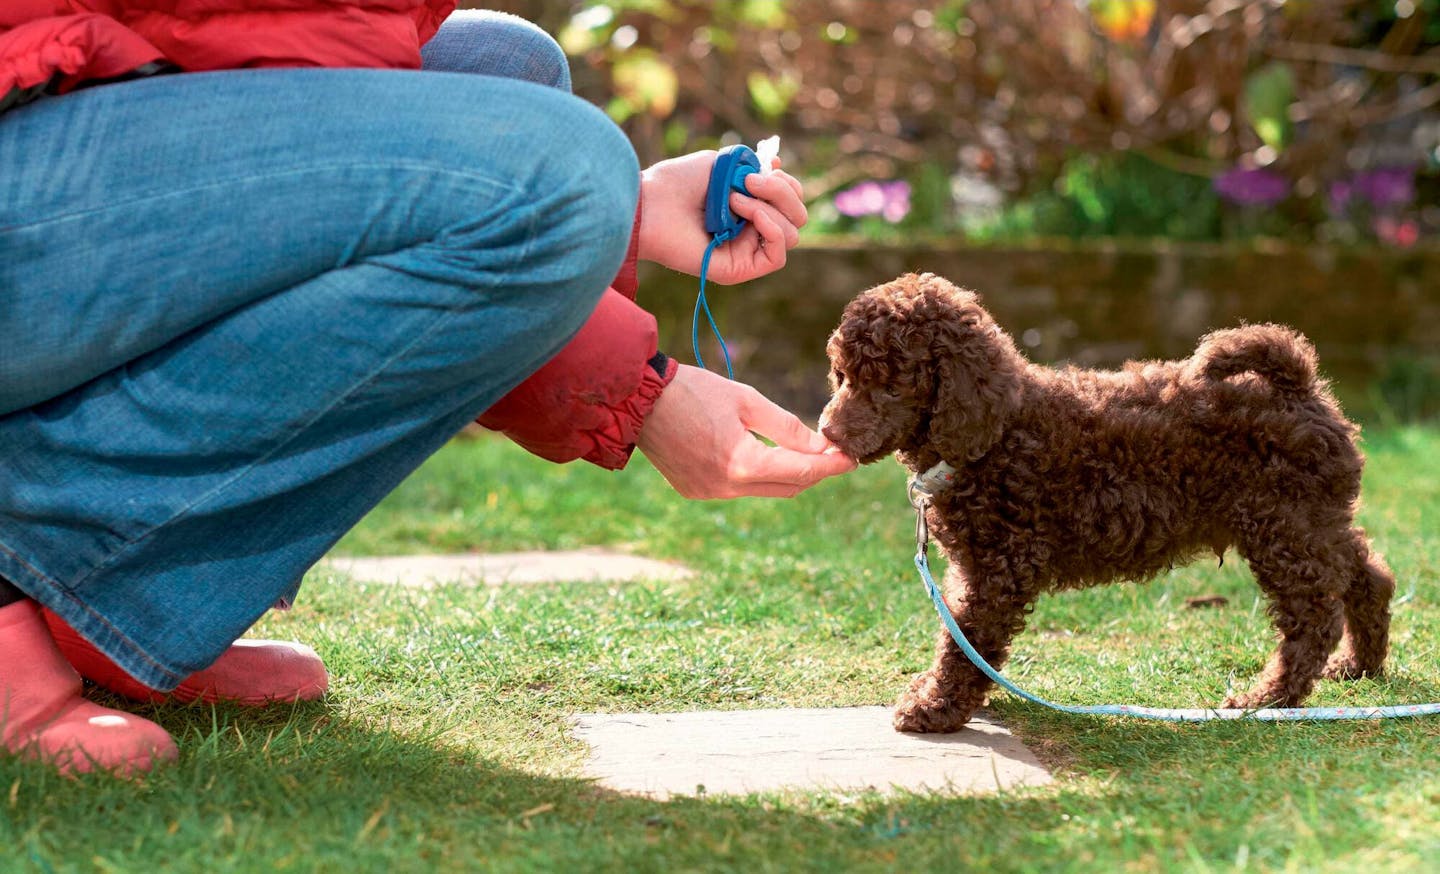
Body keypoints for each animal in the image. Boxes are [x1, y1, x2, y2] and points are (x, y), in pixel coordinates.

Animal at [823, 272, 1393, 731]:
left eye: (890, 385)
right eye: (842, 376)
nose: (827, 432)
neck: (999, 431)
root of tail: (1299, 386)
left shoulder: (998, 568)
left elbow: (965, 640)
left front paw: (934, 707)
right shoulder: (977, 568)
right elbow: (962, 636)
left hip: (1283, 526)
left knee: (1314, 615)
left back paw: (1269, 699)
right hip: (1313, 520)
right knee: (1368, 575)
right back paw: (1359, 665)